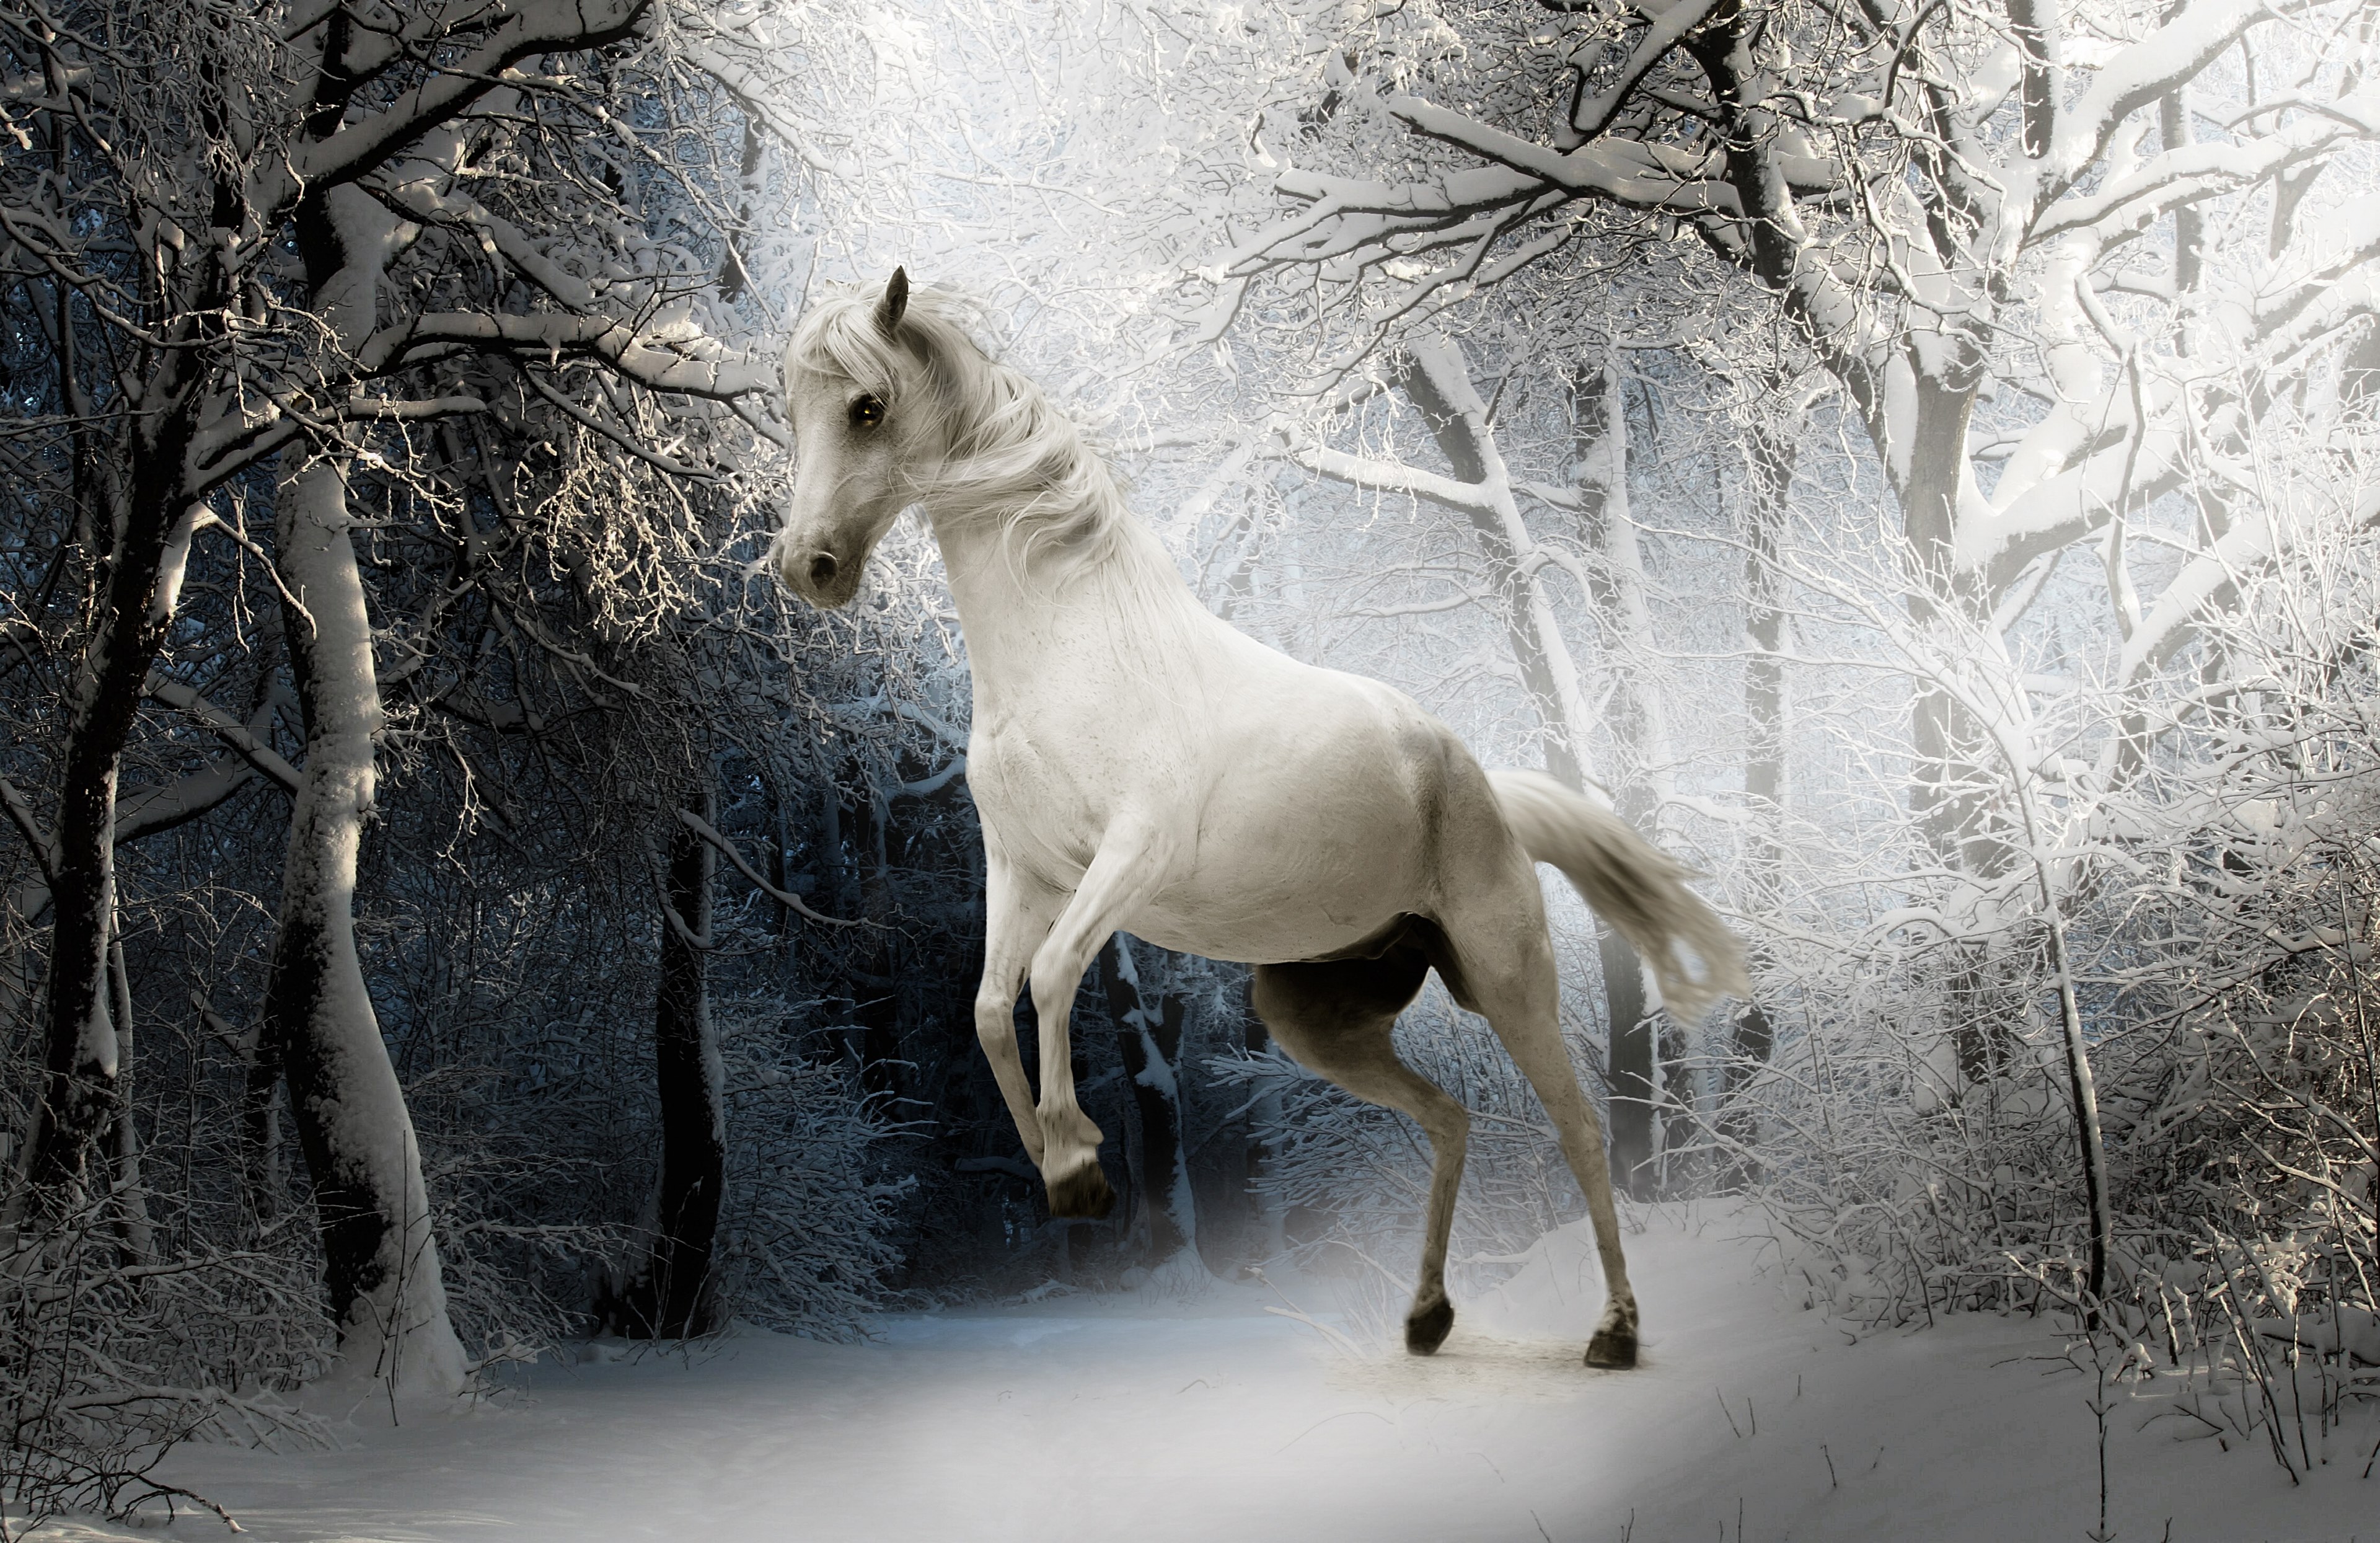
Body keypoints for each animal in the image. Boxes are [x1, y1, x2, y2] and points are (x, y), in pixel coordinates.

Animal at [769, 270, 1745, 1368]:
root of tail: (1483, 785)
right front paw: (1063, 1171)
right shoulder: (1023, 869)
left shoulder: (1128, 858)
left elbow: (1053, 976)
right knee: (1449, 1118)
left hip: (1508, 975)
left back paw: (1613, 1333)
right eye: (792, 410)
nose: (806, 567)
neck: (1072, 648)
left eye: (867, 408)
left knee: (1579, 1127)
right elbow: (986, 1008)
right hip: (1315, 1018)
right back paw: (1427, 1319)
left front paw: (1080, 1162)